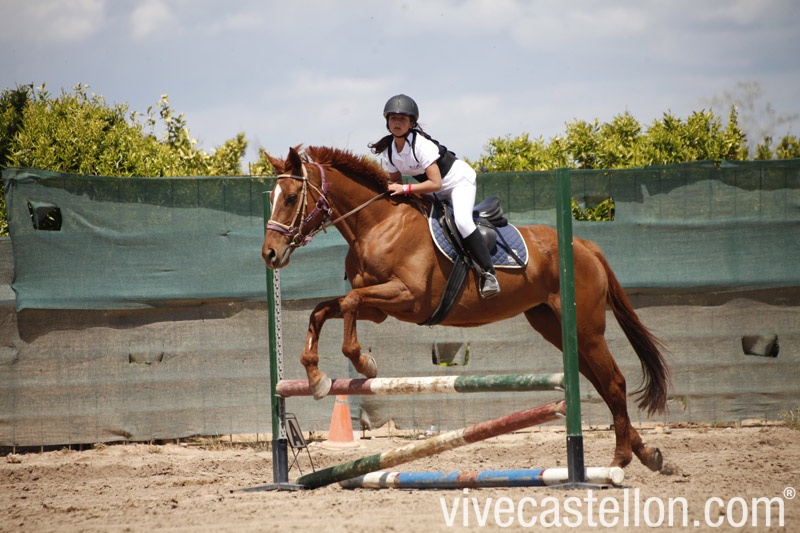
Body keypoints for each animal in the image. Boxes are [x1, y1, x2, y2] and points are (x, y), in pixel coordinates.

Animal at [261, 145, 670, 472]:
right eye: (274, 196)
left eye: (292, 197)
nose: (269, 254)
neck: (377, 224)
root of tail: (585, 245)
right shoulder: (379, 306)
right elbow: (323, 309)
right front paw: (316, 377)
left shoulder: (407, 297)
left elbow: (348, 304)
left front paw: (363, 362)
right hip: (555, 326)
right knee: (600, 382)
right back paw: (647, 454)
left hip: (586, 327)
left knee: (614, 382)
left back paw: (620, 459)